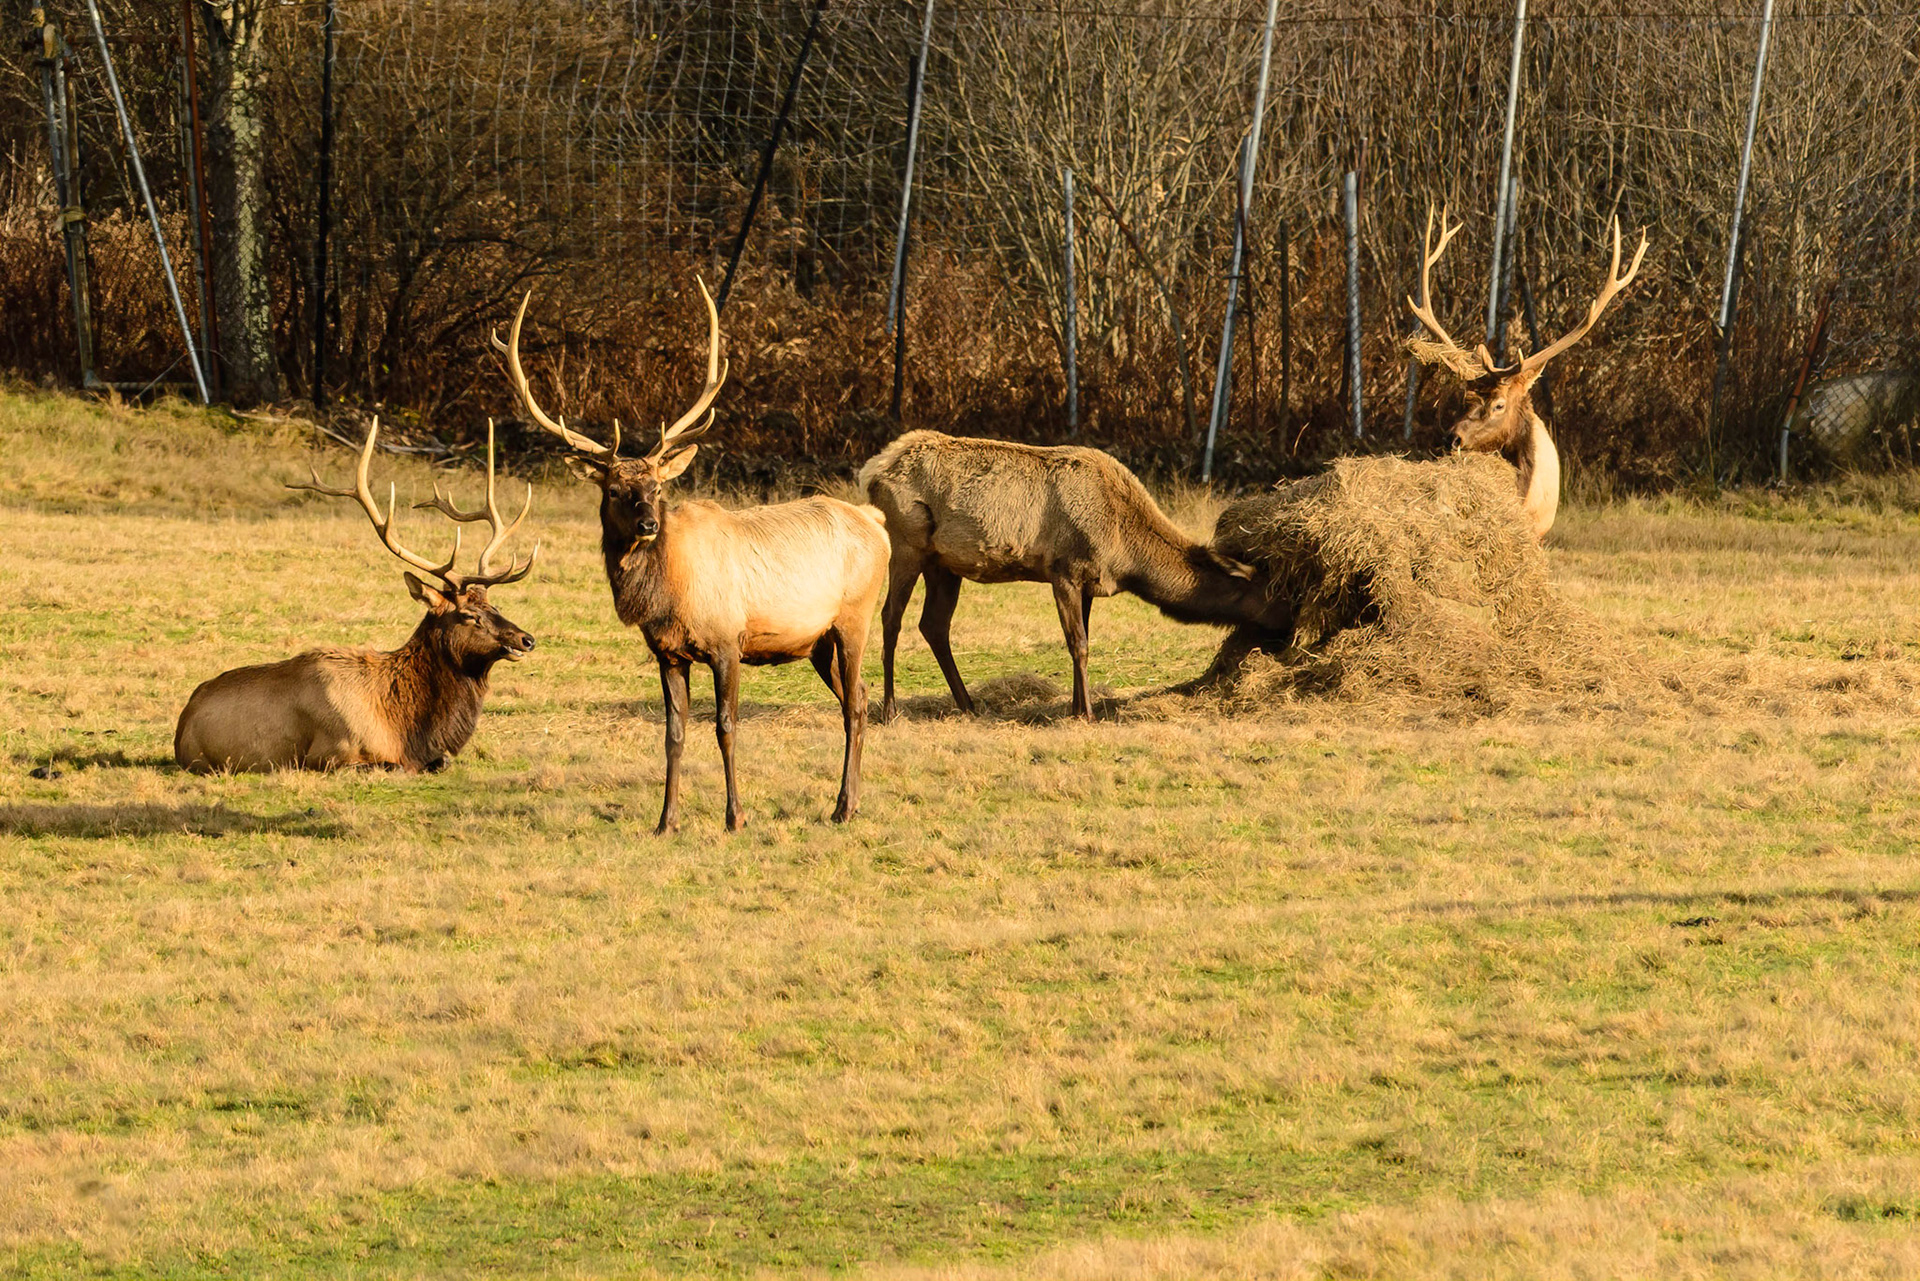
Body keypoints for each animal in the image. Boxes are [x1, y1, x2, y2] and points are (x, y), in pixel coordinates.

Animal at [175, 418, 539, 774]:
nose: (527, 639)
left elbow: (442, 761)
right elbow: (401, 767)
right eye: (469, 615)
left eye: (493, 605)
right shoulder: (329, 754)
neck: (409, 729)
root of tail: (182, 723)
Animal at [493, 279, 889, 833]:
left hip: (854, 617)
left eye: (657, 487)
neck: (666, 596)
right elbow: (673, 734)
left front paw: (735, 817)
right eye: (614, 490)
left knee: (853, 704)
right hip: (817, 643)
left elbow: (725, 727)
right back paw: (845, 802)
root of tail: (877, 523)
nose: (648, 525)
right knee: (862, 698)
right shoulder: (668, 653)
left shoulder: (727, 640)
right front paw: (667, 821)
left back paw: (844, 807)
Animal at [857, 432, 1289, 723]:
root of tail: (872, 472)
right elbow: (1077, 642)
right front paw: (1087, 713)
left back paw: (968, 704)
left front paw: (1077, 706)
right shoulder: (1062, 571)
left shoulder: (1089, 583)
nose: (1289, 630)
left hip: (944, 564)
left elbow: (1084, 638)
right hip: (906, 545)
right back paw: (890, 709)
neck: (1127, 555)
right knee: (891, 619)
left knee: (934, 625)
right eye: (1274, 592)